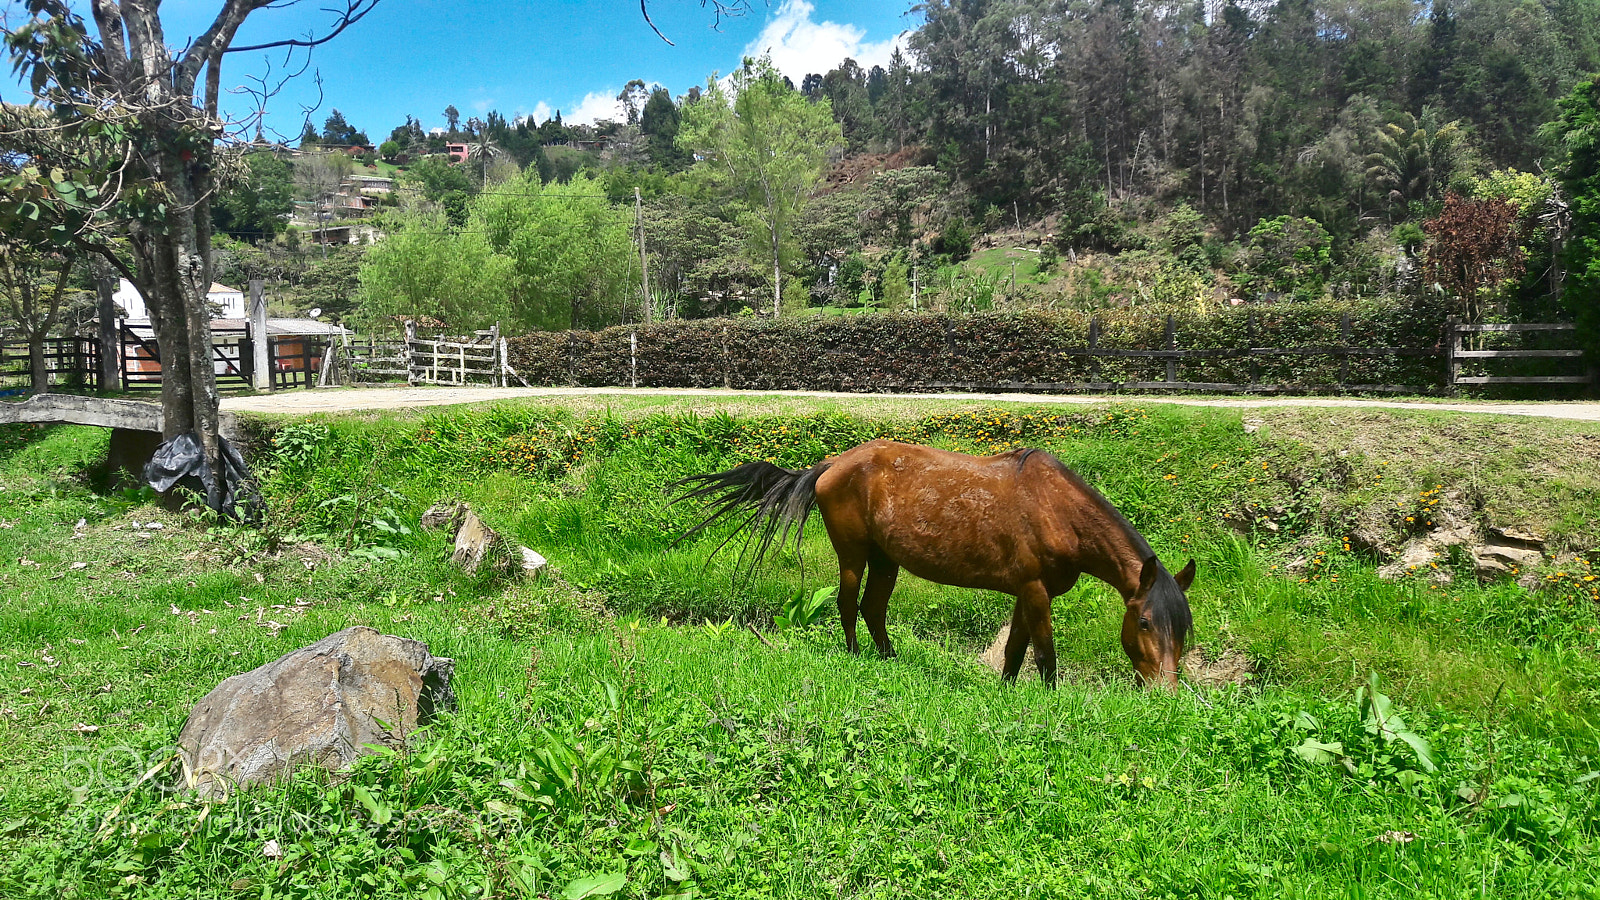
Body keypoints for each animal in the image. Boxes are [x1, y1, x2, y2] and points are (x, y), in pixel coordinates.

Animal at [672, 439, 1195, 688]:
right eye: (1144, 622)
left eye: (1183, 631)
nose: (1164, 694)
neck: (1056, 509)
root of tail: (829, 465)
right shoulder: (1035, 590)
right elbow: (1044, 656)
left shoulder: (1026, 591)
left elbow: (1015, 651)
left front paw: (1006, 692)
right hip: (854, 556)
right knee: (848, 605)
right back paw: (857, 657)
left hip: (886, 561)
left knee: (873, 609)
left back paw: (890, 659)